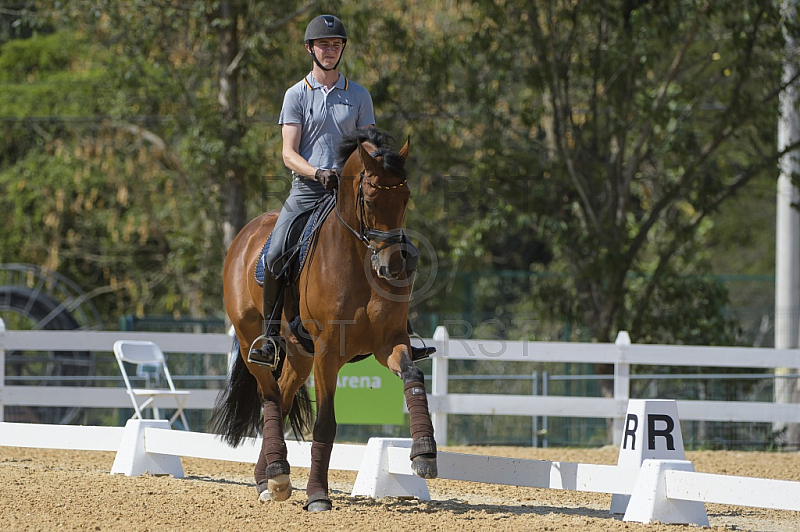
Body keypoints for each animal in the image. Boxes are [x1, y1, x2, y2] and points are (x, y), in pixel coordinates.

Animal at [209, 128, 438, 512]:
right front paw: (318, 495)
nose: (393, 267)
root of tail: (247, 232)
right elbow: (325, 424)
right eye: (370, 200)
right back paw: (276, 472)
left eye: (405, 198)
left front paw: (424, 452)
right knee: (269, 395)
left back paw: (269, 478)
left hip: (300, 354)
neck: (359, 262)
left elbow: (413, 376)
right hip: (249, 339)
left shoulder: (389, 342)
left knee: (283, 395)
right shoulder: (328, 353)